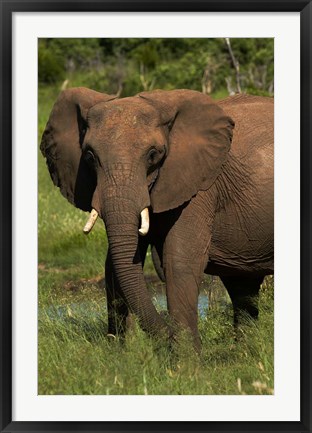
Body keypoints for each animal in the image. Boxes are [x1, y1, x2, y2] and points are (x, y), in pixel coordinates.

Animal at [40, 88, 272, 348]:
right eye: (89, 156)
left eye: (153, 155)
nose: (166, 336)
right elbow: (114, 265)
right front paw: (122, 351)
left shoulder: (198, 185)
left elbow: (180, 261)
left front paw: (186, 358)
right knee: (243, 287)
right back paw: (245, 351)